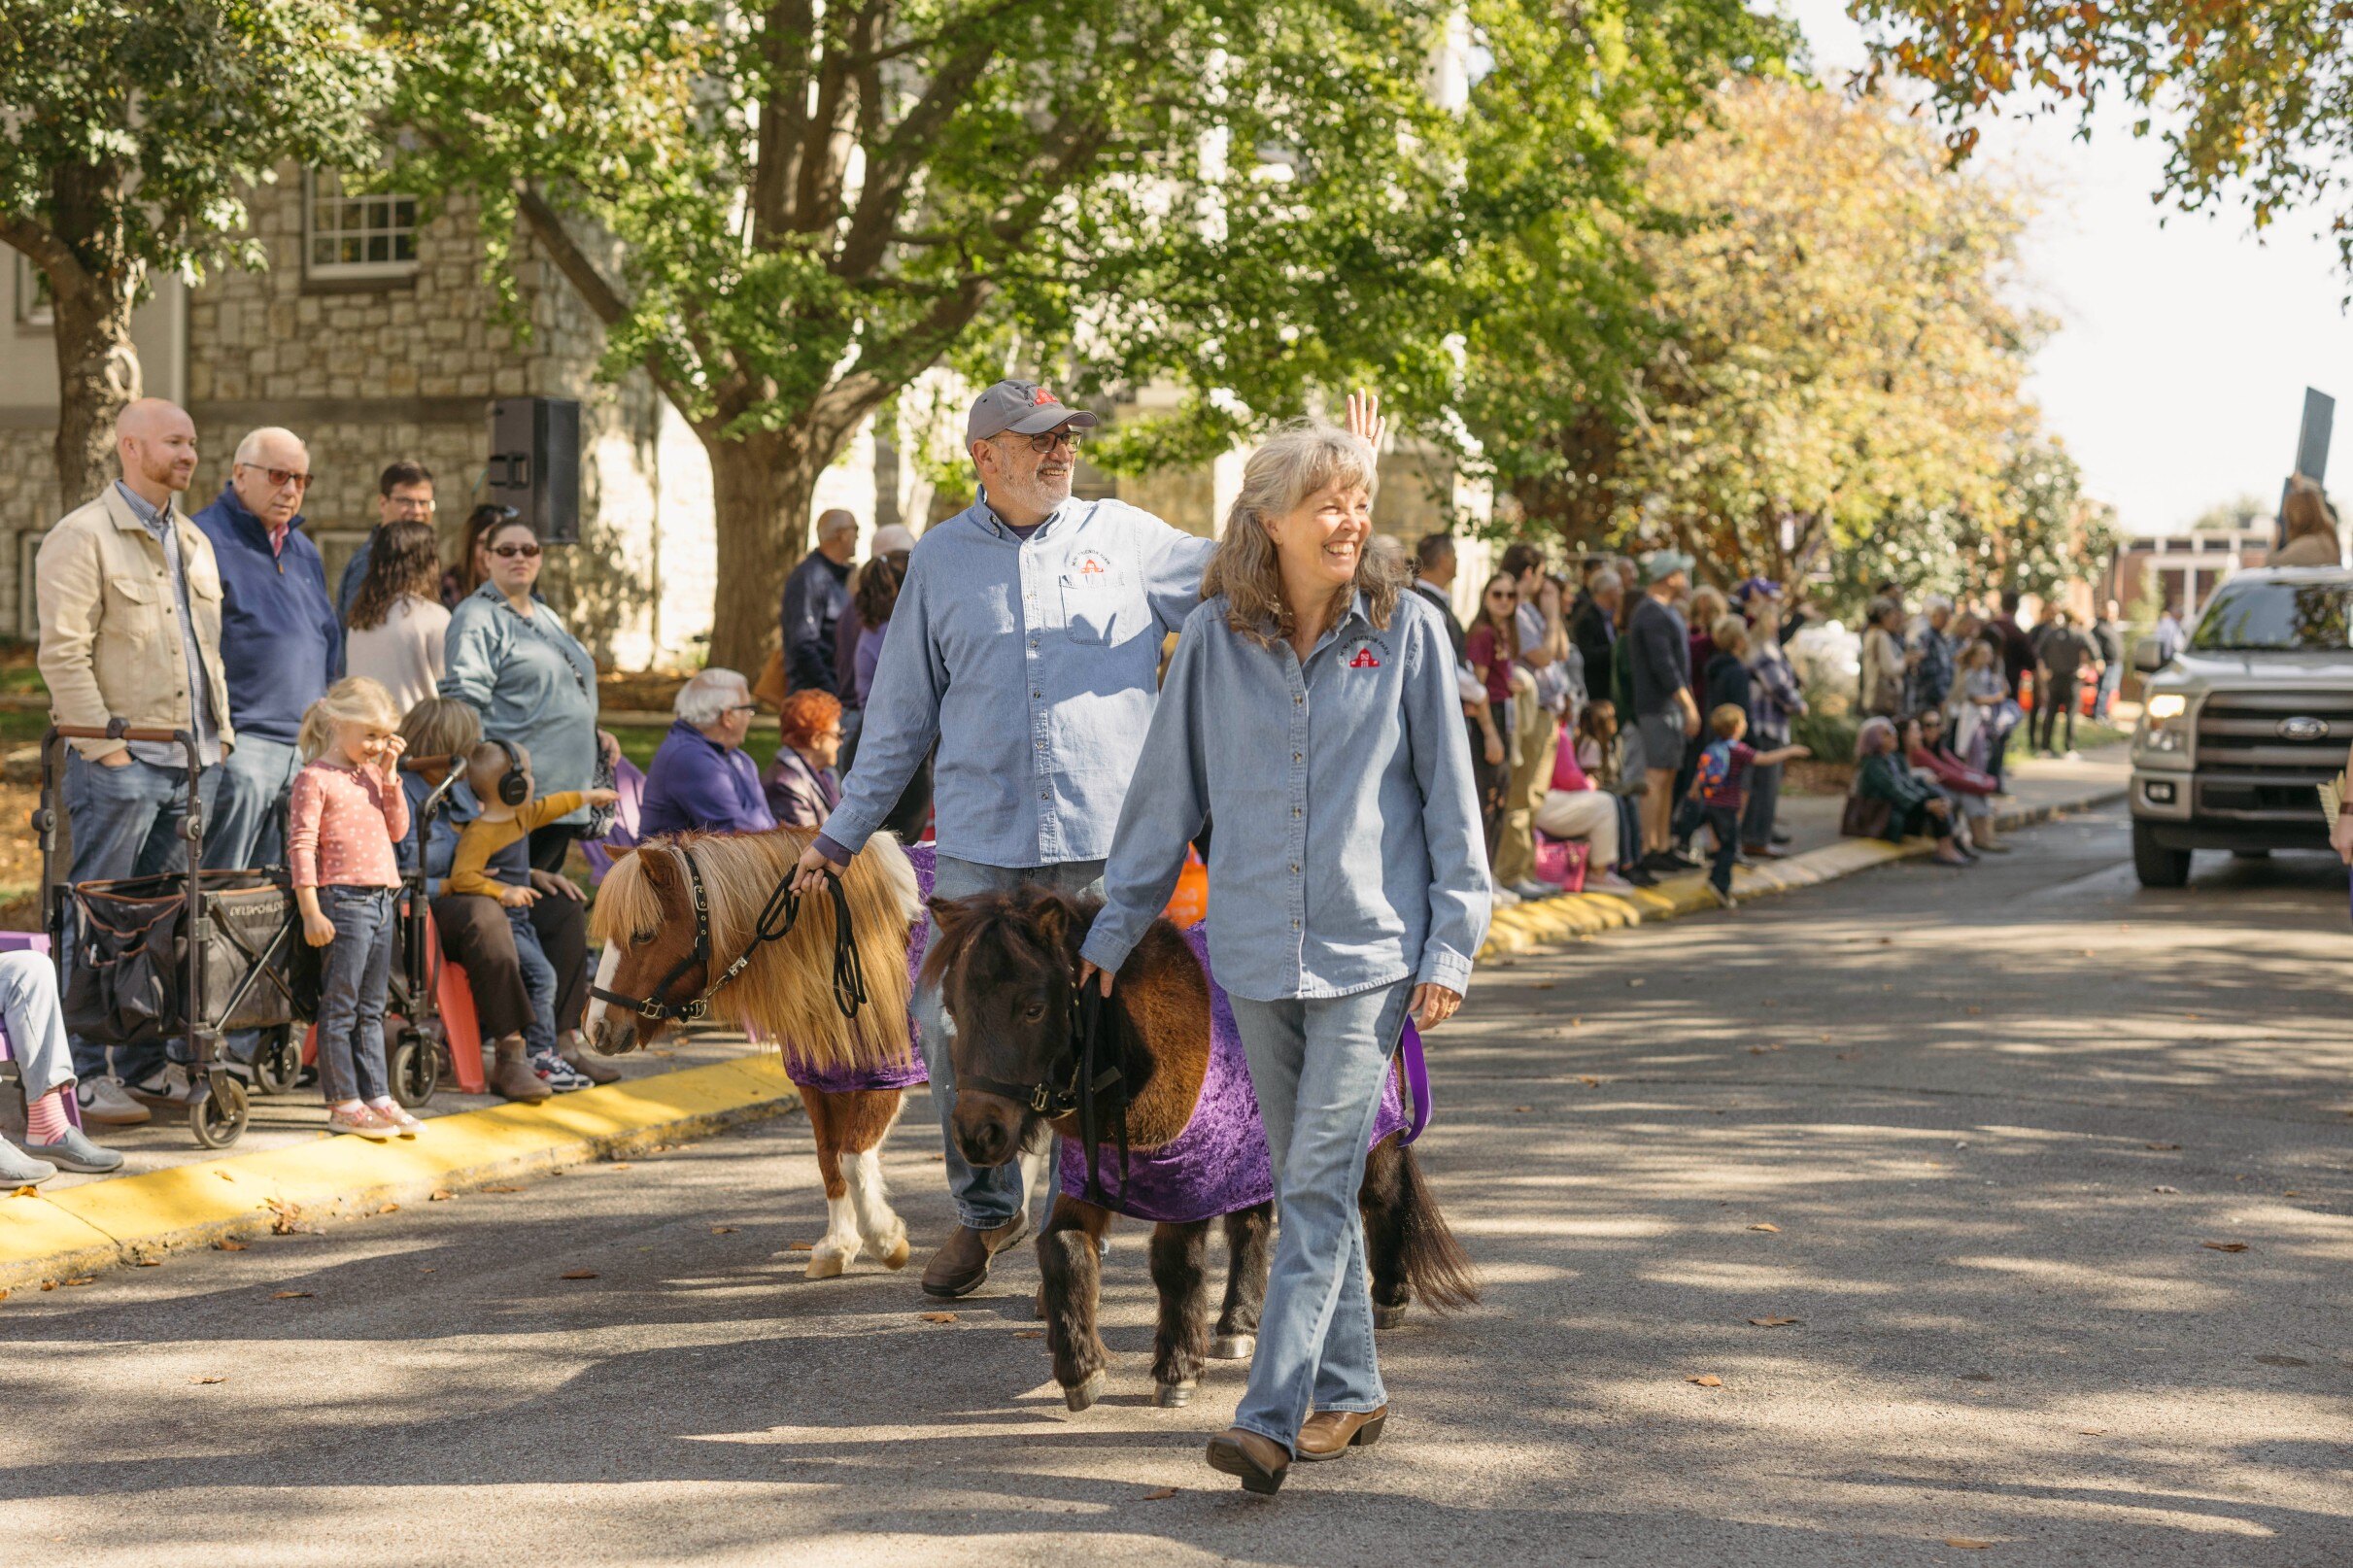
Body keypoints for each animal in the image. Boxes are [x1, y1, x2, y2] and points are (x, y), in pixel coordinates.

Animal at [583, 824, 922, 1280]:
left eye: (643, 934)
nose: (595, 1028)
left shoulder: (887, 1073)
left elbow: (852, 1158)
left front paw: (885, 1240)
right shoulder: (821, 1078)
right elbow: (829, 1158)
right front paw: (837, 1245)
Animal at [917, 885, 1468, 1413]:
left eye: (1033, 1009)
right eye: (953, 1009)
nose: (978, 1134)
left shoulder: (1189, 1187)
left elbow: (1175, 1266)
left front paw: (1177, 1371)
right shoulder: (1092, 1181)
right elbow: (1063, 1249)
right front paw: (1082, 1372)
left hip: (1367, 1133)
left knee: (1381, 1197)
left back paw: (1388, 1297)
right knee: (1251, 1225)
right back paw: (1238, 1323)